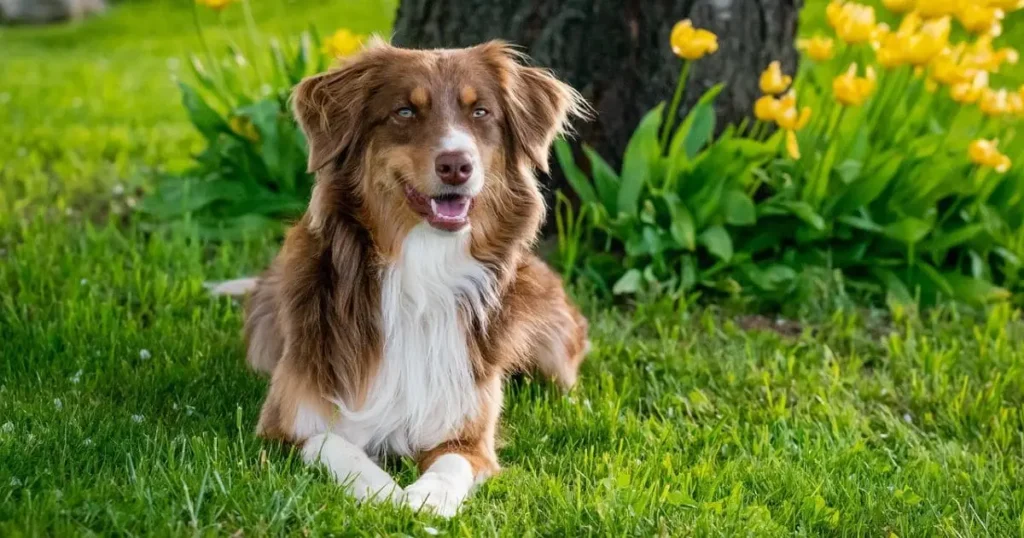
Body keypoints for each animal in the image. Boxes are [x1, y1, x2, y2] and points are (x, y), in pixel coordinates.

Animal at [216, 37, 593, 516]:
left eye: (481, 112)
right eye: (405, 111)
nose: (457, 165)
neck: (422, 270)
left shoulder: (469, 434)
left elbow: (451, 464)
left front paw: (428, 498)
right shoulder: (284, 424)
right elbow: (332, 446)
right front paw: (383, 492)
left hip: (552, 347)